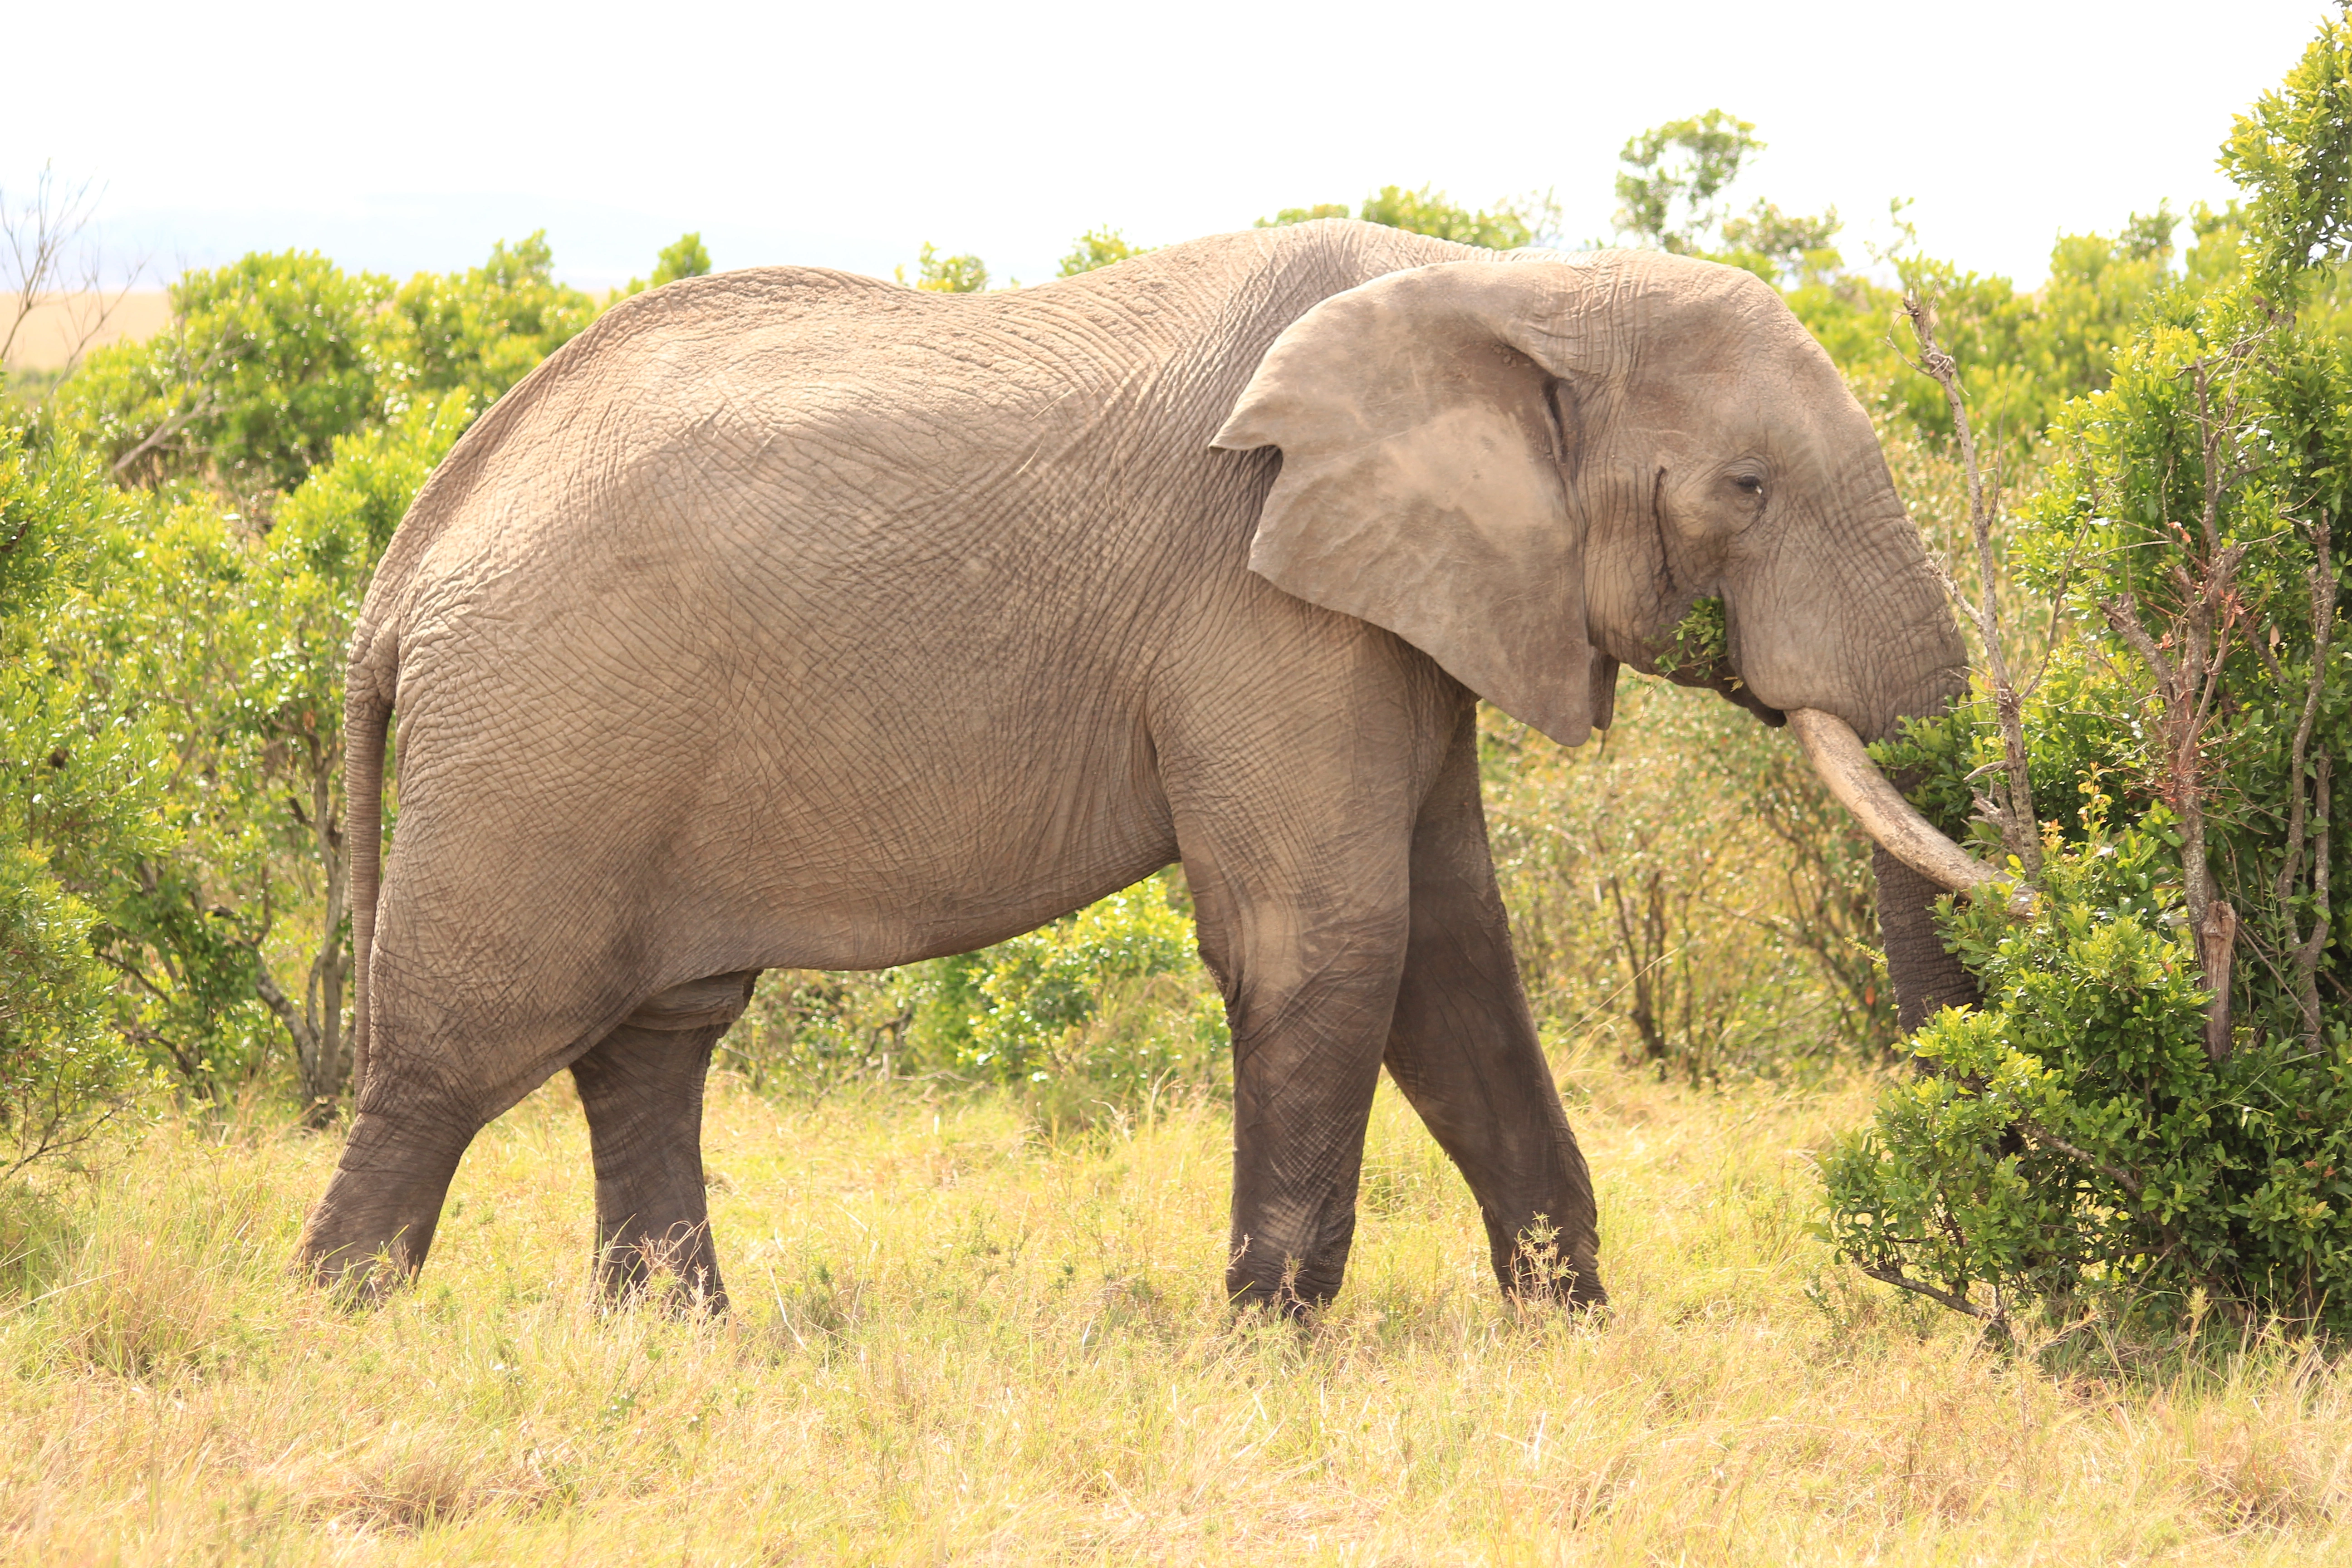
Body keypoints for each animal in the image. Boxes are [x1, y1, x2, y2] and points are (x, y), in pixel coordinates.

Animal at [299, 218, 1990, 1313]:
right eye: (1748, 488)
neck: (1517, 283)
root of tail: (406, 562)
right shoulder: (1258, 598)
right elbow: (1333, 937)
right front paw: (1268, 1343)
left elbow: (1452, 951)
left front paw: (1560, 1326)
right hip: (538, 740)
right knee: (449, 1066)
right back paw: (346, 1329)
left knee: (652, 1043)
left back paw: (674, 1344)